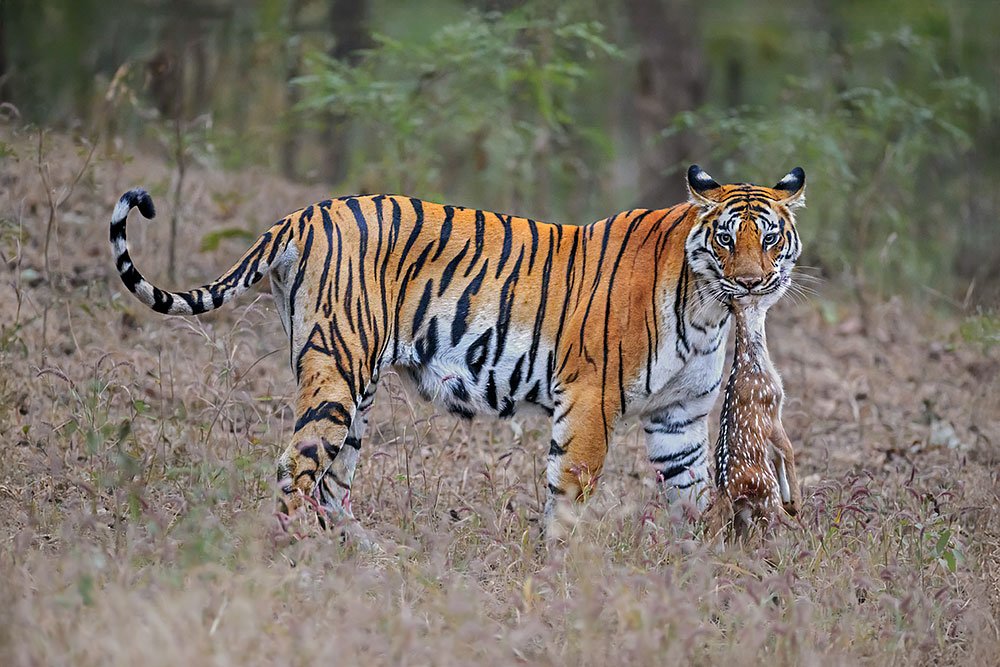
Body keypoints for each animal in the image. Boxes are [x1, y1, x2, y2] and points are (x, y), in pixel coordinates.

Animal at [108, 164, 806, 540]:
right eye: (726, 239)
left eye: (770, 238)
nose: (751, 283)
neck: (709, 310)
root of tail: (303, 214)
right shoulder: (590, 402)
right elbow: (569, 496)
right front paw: (560, 573)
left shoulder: (679, 419)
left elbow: (693, 499)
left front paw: (700, 574)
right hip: (339, 374)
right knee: (295, 467)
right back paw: (294, 557)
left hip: (355, 393)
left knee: (333, 484)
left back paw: (363, 560)